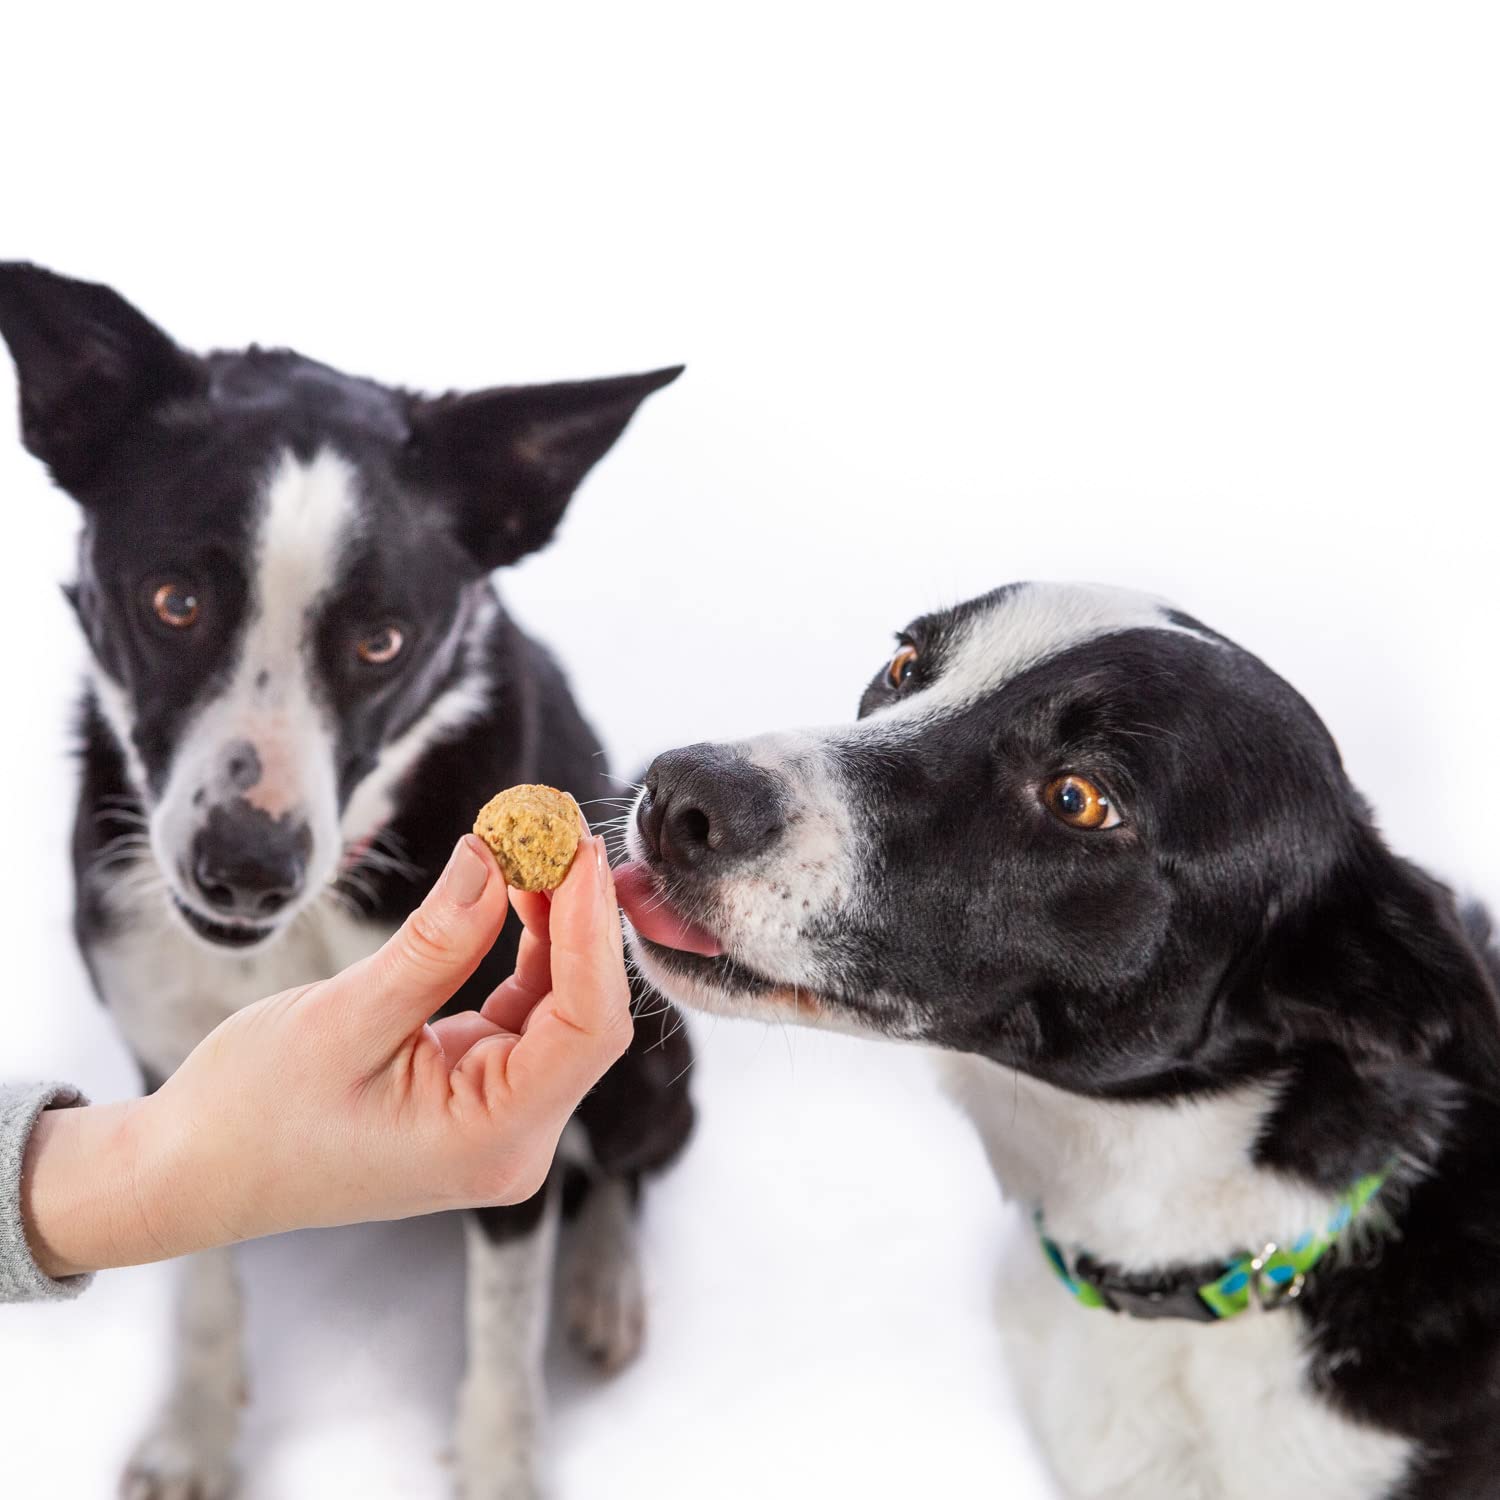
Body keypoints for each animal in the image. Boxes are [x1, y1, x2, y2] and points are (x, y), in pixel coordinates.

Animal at [0, 270, 693, 1500]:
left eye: (383, 641)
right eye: (173, 601)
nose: (246, 866)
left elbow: (503, 1328)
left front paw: (500, 1464)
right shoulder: (164, 1055)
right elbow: (201, 1277)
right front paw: (193, 1431)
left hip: (653, 1058)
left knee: (625, 1170)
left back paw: (605, 1280)